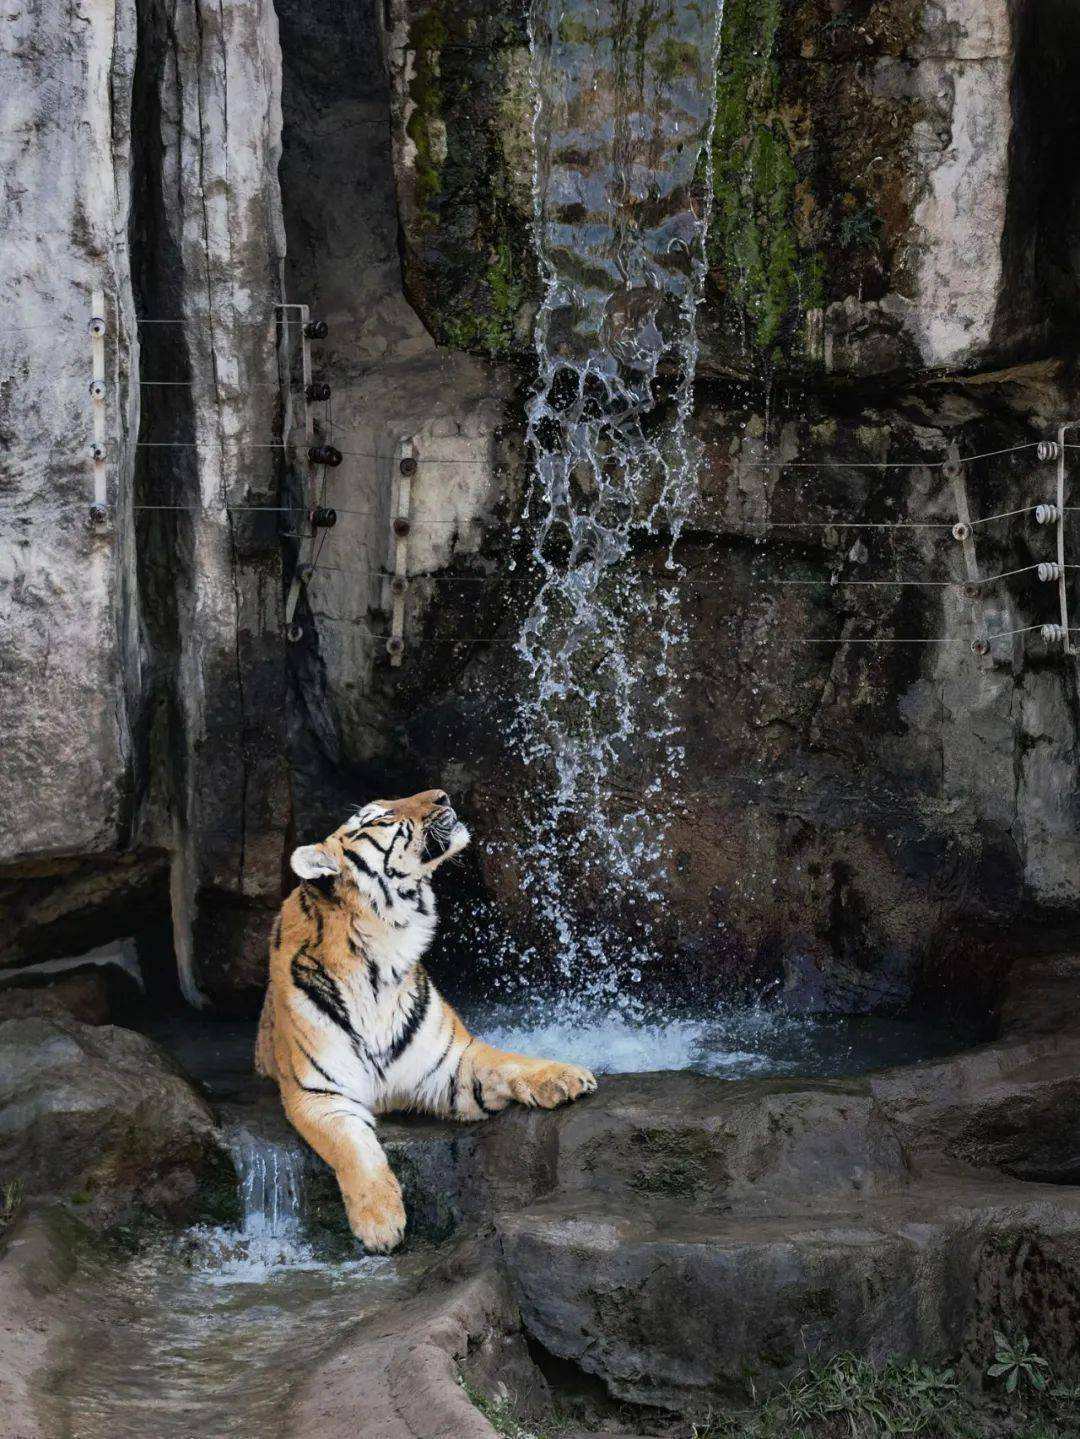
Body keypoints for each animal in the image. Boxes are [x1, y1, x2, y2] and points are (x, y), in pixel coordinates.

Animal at [255, 788, 601, 1249]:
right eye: (380, 817)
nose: (442, 795)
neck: (380, 957)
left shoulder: (452, 1065)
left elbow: (511, 1063)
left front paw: (566, 1077)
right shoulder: (318, 1094)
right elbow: (354, 1148)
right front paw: (381, 1223)